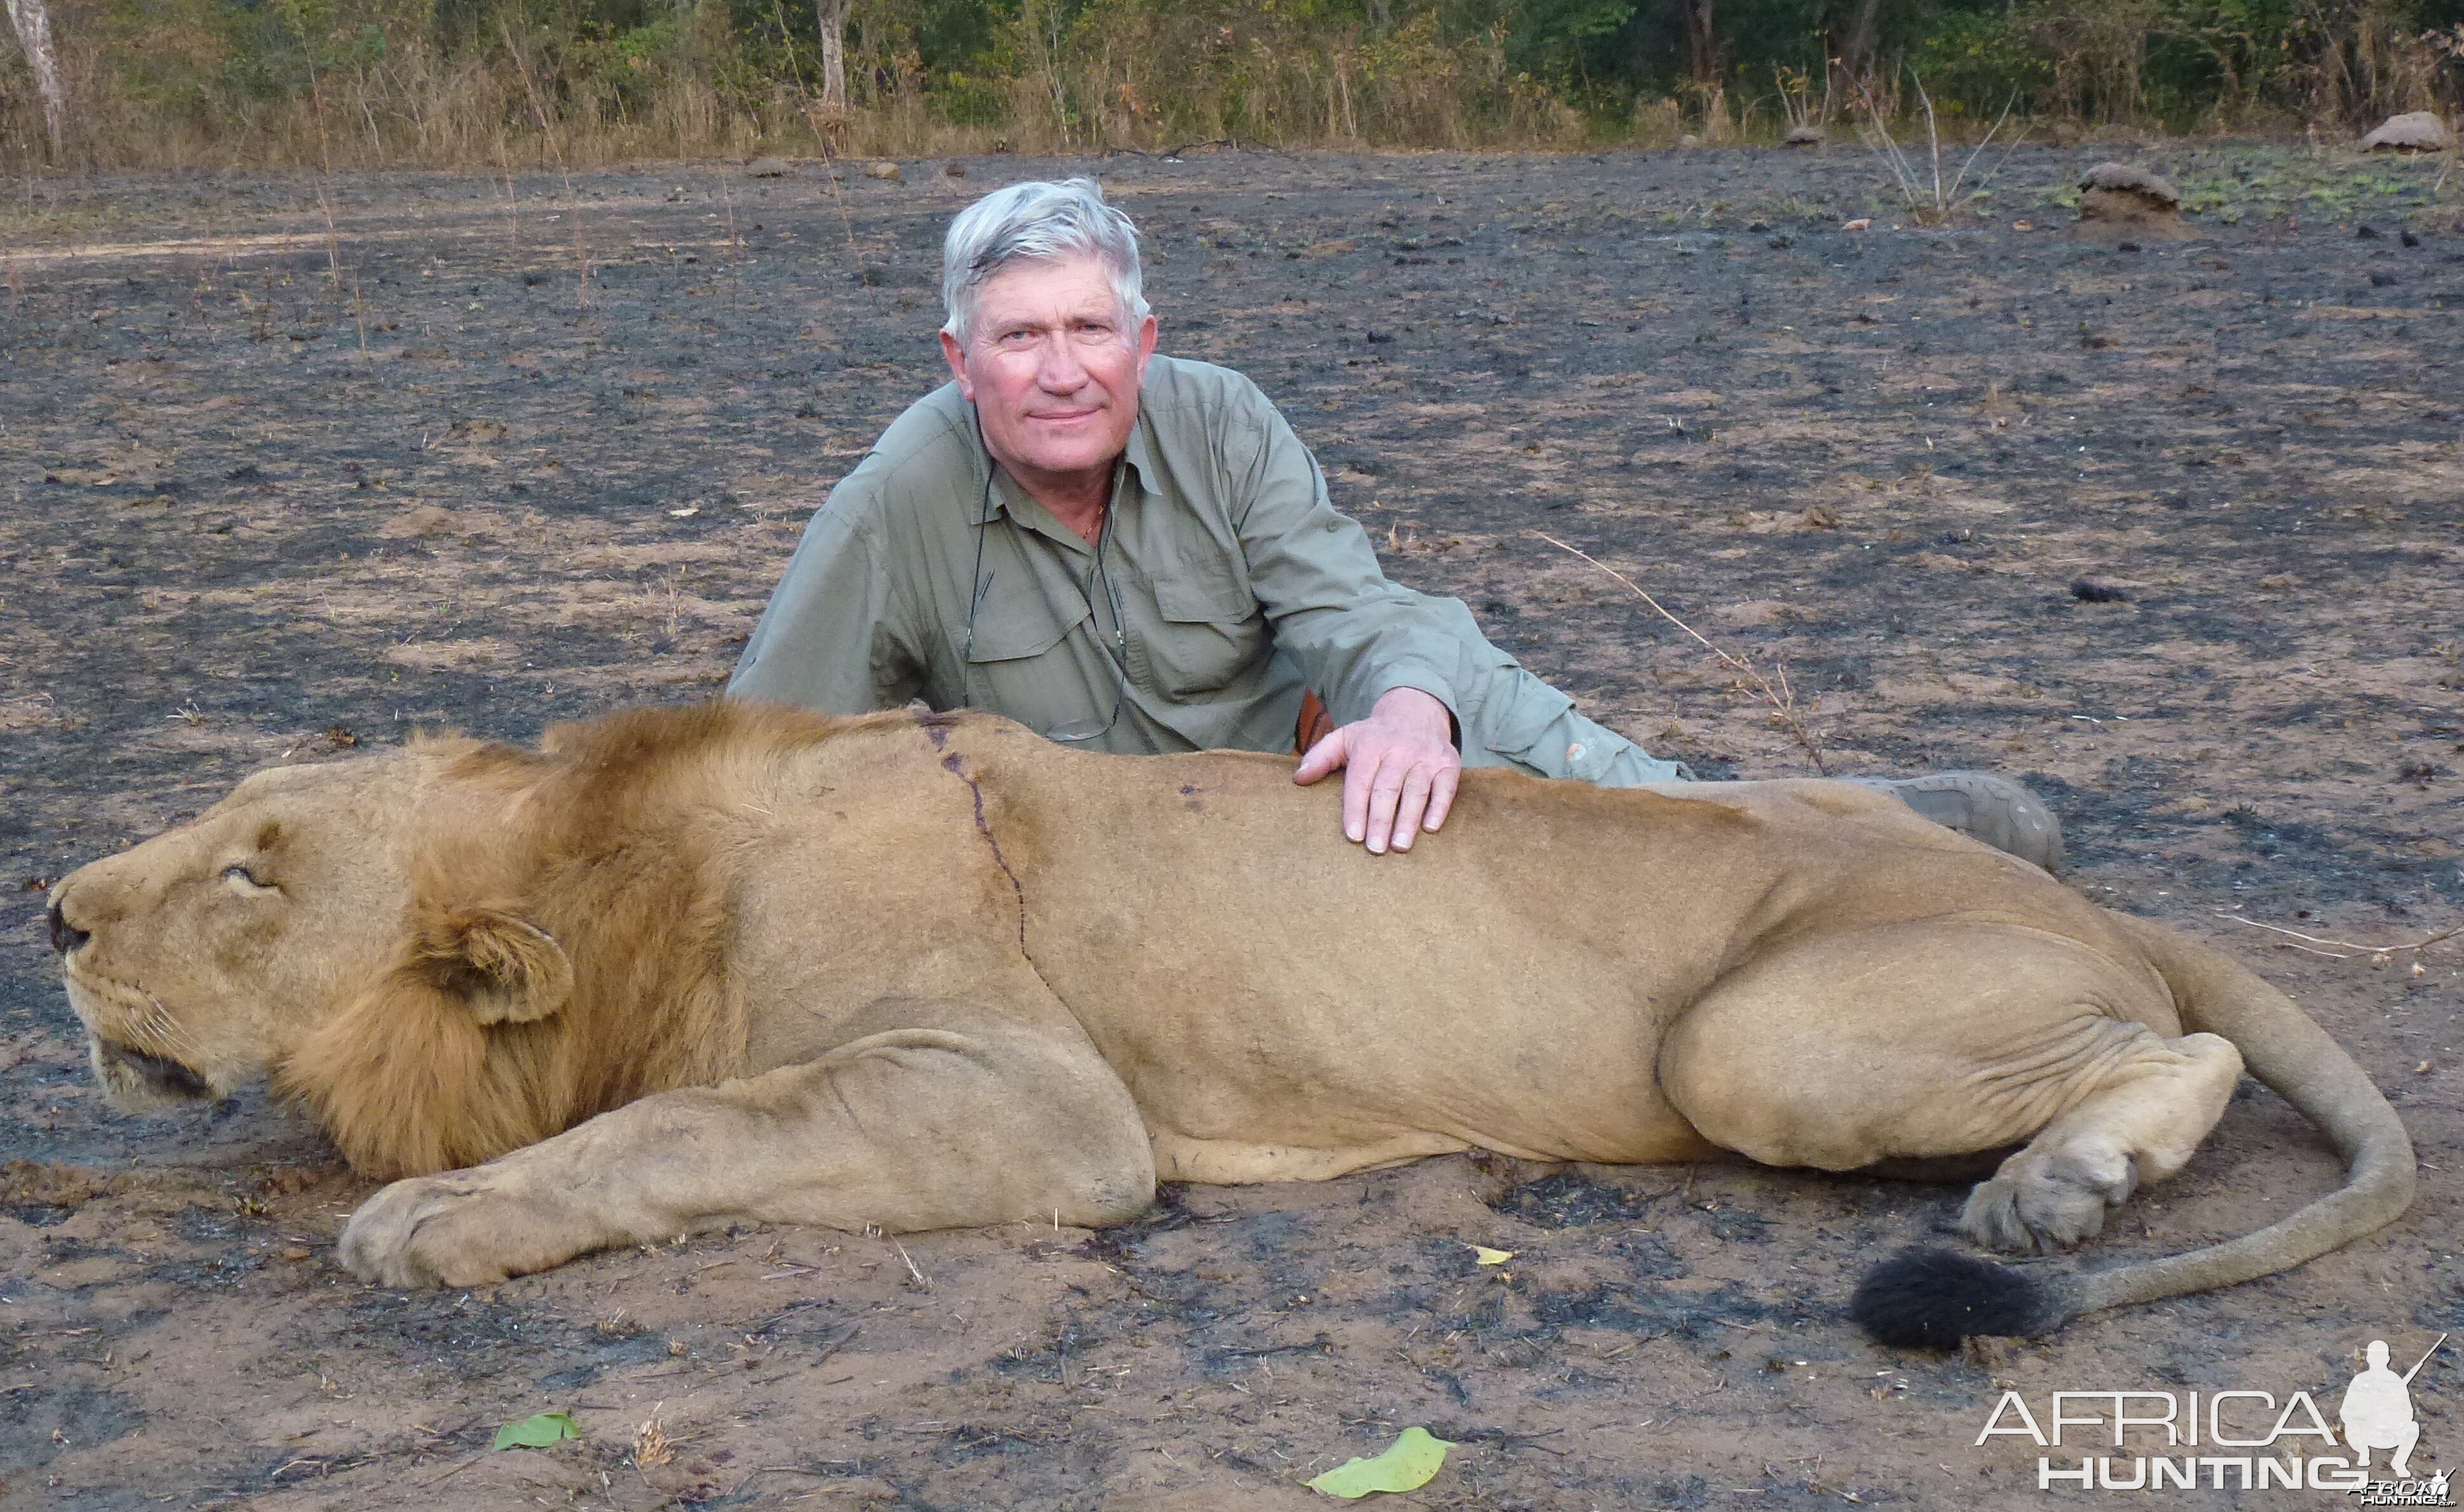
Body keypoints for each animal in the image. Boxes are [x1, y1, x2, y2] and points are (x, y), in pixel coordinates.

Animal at [48, 704, 2414, 1349]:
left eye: (254, 866)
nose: (54, 913)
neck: (627, 860)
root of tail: (2083, 899)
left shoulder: (1032, 1102)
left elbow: (671, 1130)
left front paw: (423, 1224)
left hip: (1755, 1048)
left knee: (2178, 1057)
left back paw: (2054, 1192)